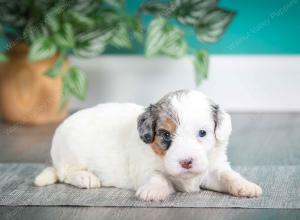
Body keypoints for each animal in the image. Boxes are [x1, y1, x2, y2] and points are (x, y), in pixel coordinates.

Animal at [35, 90, 262, 201]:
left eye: (202, 133)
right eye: (165, 134)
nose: (186, 162)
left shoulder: (214, 168)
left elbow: (228, 176)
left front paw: (246, 186)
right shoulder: (145, 168)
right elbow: (157, 177)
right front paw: (153, 190)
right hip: (71, 154)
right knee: (65, 173)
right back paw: (86, 177)